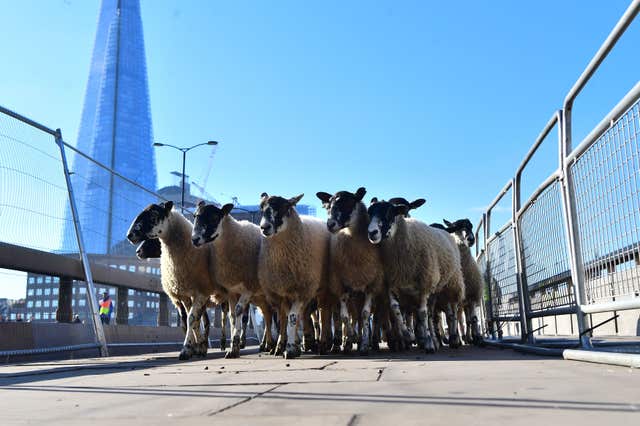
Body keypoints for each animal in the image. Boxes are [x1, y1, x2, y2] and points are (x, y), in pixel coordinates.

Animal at [126, 201, 226, 362]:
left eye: (154, 215)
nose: (129, 235)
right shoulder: (183, 296)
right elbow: (190, 321)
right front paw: (196, 347)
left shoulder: (201, 293)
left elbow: (192, 319)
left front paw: (187, 349)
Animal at [190, 201, 276, 358]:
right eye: (195, 216)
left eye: (214, 217)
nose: (195, 239)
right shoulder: (231, 291)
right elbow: (231, 317)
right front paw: (232, 347)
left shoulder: (249, 288)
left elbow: (238, 312)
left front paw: (235, 346)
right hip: (262, 298)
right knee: (268, 316)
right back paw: (268, 345)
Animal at [258, 194, 332, 360]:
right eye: (261, 208)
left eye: (284, 207)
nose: (264, 227)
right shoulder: (281, 294)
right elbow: (282, 321)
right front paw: (280, 346)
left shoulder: (302, 290)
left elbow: (291, 318)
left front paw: (290, 348)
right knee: (305, 315)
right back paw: (306, 341)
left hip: (322, 289)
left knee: (323, 315)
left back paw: (322, 343)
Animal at [314, 188, 380, 354]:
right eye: (328, 206)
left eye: (349, 203)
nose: (330, 224)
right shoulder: (341, 285)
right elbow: (344, 318)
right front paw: (352, 338)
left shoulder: (370, 286)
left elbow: (364, 315)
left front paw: (364, 345)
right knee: (349, 317)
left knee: (359, 317)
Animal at [364, 200, 464, 352]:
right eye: (369, 213)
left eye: (389, 212)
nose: (372, 233)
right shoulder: (392, 283)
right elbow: (395, 310)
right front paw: (408, 336)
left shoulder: (424, 284)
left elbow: (422, 314)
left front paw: (428, 344)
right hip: (434, 290)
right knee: (431, 315)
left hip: (450, 283)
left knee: (449, 311)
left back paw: (451, 339)